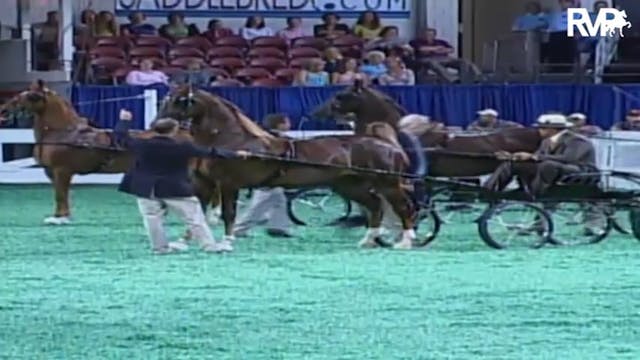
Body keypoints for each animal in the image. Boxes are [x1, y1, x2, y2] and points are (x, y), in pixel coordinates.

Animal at [159, 88, 420, 250]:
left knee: (404, 207)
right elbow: (197, 214)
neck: (231, 140)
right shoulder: (206, 185)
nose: (159, 124)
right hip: (349, 186)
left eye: (179, 101)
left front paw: (226, 242)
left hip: (387, 183)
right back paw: (368, 240)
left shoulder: (228, 185)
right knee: (375, 207)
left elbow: (228, 214)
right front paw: (181, 242)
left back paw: (406, 241)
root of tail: (385, 142)